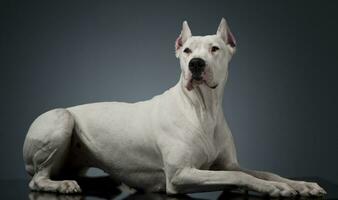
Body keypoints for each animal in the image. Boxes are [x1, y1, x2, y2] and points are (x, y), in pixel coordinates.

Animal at [23, 18, 324, 197]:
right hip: (61, 118)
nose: (196, 64)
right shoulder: (180, 175)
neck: (203, 110)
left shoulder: (224, 163)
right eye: (187, 50)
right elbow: (237, 175)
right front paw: (276, 188)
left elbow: (254, 171)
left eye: (215, 48)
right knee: (37, 179)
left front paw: (299, 184)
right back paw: (61, 185)